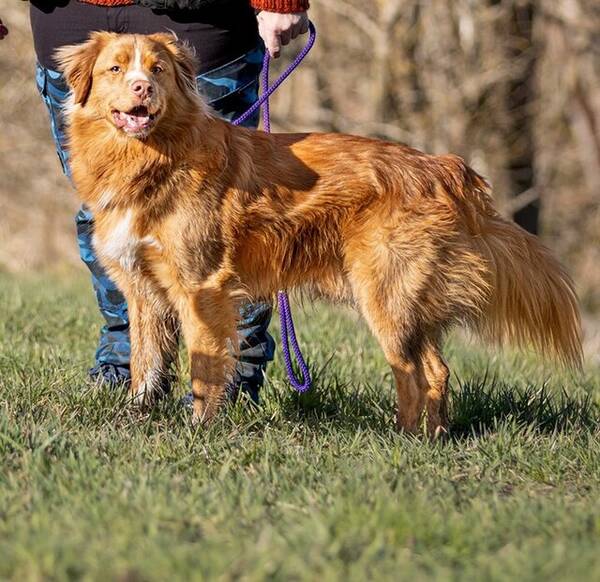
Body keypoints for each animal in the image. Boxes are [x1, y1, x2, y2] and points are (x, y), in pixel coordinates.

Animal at [55, 30, 580, 434]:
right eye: (116, 69)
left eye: (158, 69)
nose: (143, 89)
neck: (150, 158)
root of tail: (443, 167)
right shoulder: (143, 290)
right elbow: (145, 365)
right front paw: (136, 420)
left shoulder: (201, 288)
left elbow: (204, 366)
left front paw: (198, 430)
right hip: (409, 300)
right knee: (437, 370)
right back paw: (433, 436)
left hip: (384, 293)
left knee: (413, 371)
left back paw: (406, 439)